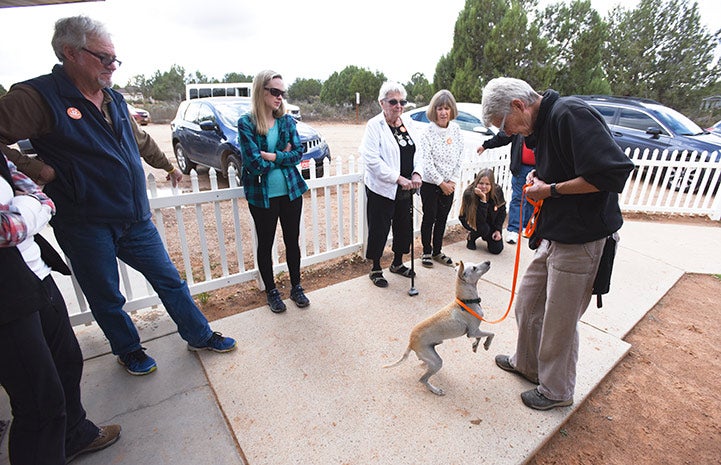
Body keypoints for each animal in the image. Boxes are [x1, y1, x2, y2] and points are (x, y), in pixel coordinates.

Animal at [382, 260, 496, 394]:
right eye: (474, 268)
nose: (488, 261)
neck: (466, 301)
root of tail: (411, 343)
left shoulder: (475, 332)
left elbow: (480, 337)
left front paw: (475, 346)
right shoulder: (473, 331)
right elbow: (491, 334)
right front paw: (486, 345)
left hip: (432, 353)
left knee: (424, 366)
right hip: (437, 362)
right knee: (423, 379)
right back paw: (435, 390)